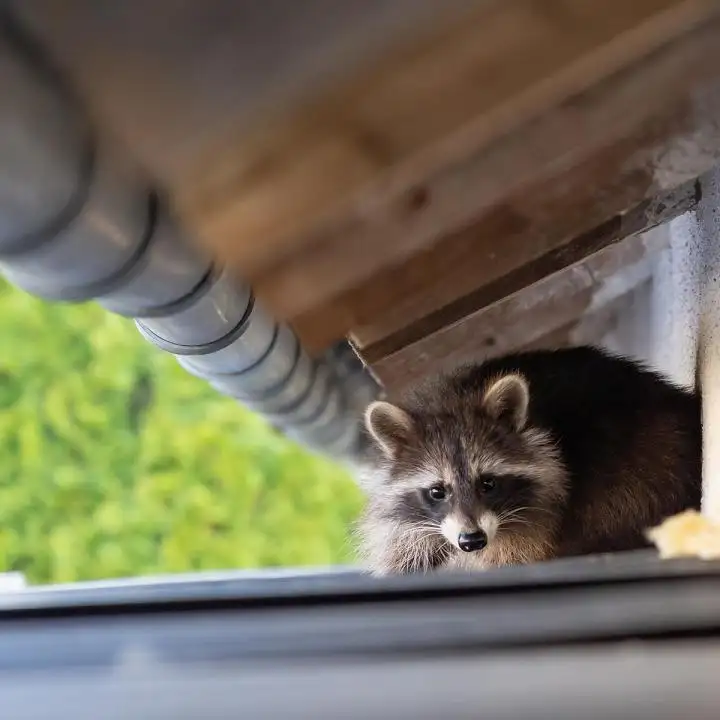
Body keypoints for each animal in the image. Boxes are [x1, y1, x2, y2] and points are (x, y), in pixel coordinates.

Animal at [358, 346, 702, 575]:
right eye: (437, 491)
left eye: (488, 483)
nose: (472, 540)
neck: (453, 398)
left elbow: (519, 551)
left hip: (645, 463)